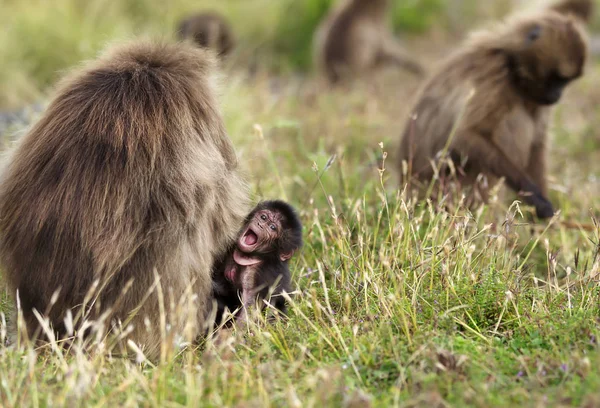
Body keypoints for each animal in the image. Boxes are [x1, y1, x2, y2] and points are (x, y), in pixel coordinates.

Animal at [398, 0, 592, 220]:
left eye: (565, 82)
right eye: (558, 80)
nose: (558, 95)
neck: (512, 67)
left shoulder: (535, 97)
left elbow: (537, 144)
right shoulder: (495, 75)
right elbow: (466, 135)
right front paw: (536, 199)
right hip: (441, 185)